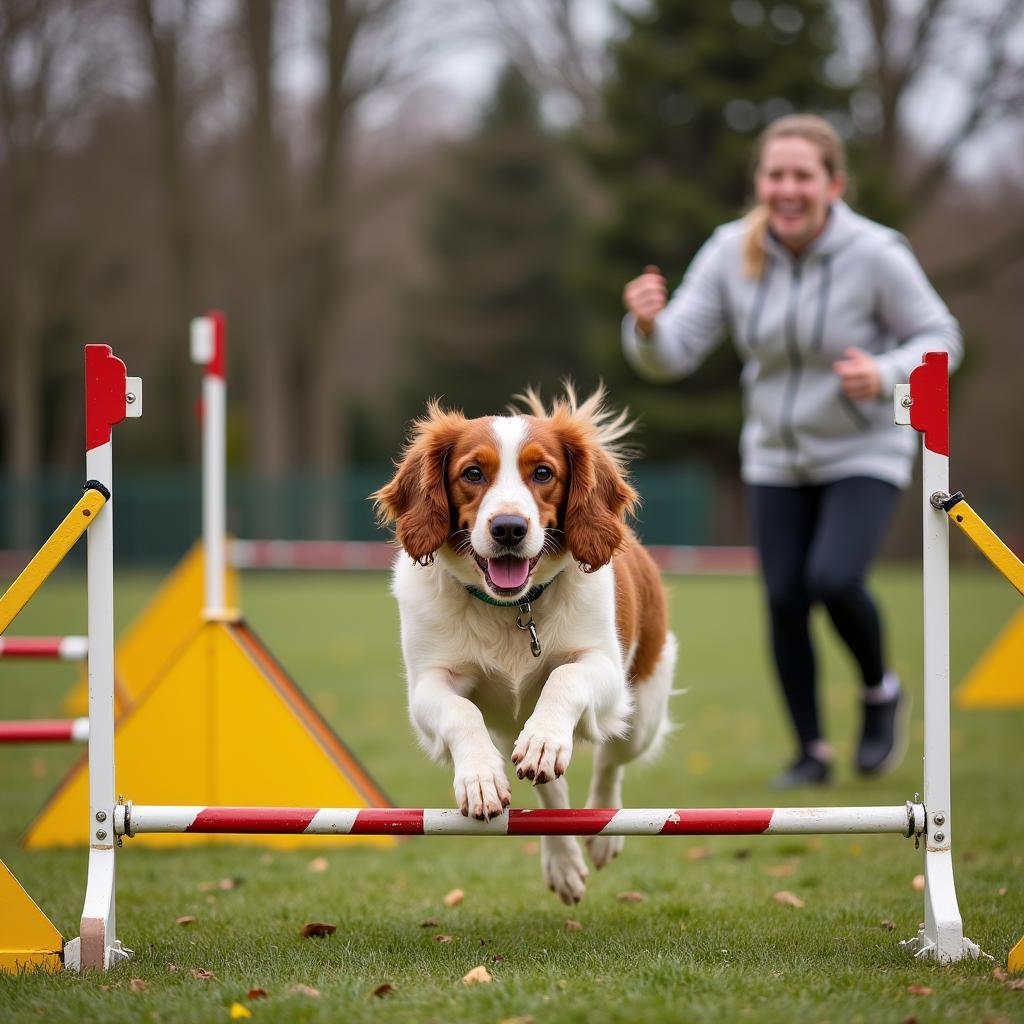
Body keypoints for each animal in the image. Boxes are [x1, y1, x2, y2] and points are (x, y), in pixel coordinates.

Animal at [372, 385, 675, 905]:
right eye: (473, 473)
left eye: (543, 473)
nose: (509, 528)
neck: (512, 609)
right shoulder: (429, 684)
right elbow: (461, 713)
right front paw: (480, 779)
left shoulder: (605, 670)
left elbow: (565, 677)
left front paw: (544, 739)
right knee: (552, 793)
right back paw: (563, 860)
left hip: (642, 711)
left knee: (611, 760)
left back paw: (603, 831)